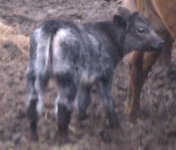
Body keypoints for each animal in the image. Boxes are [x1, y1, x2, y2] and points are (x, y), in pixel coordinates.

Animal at [25, 6, 164, 138]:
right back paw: (64, 138)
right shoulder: (105, 75)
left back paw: (33, 135)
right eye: (141, 30)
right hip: (67, 75)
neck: (111, 39)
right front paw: (115, 124)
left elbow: (83, 100)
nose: (161, 42)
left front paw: (80, 120)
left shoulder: (86, 79)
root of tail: (53, 26)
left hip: (35, 70)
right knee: (62, 107)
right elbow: (107, 100)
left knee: (33, 103)